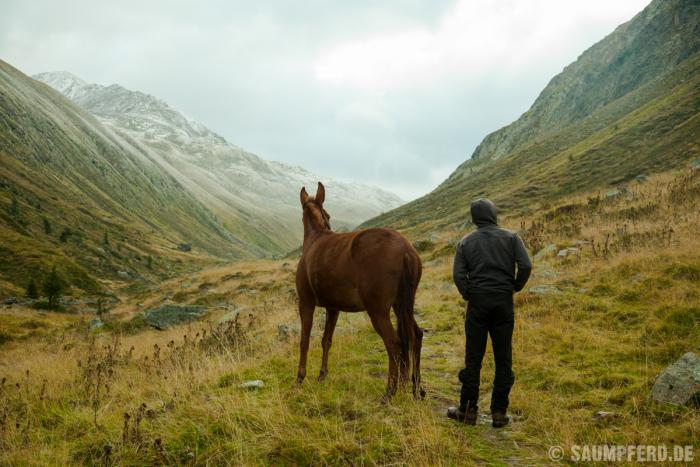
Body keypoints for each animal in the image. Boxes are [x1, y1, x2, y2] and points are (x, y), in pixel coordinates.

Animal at [296, 181, 426, 400]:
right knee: (415, 337)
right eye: (328, 215)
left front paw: (300, 377)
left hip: (378, 310)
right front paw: (322, 375)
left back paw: (389, 392)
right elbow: (326, 341)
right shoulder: (333, 308)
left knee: (394, 344)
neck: (315, 238)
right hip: (403, 306)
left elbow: (304, 340)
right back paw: (416, 388)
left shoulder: (305, 303)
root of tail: (405, 248)